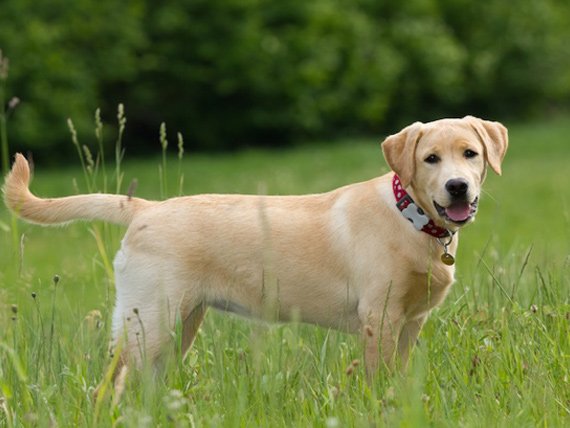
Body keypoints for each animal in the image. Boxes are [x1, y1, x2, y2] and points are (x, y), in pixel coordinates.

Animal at [1, 116, 506, 388]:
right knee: (109, 387)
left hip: (180, 324)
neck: (412, 219)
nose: (457, 187)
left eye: (470, 153)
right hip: (149, 324)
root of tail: (146, 208)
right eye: (430, 160)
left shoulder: (410, 322)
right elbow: (376, 379)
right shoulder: (378, 320)